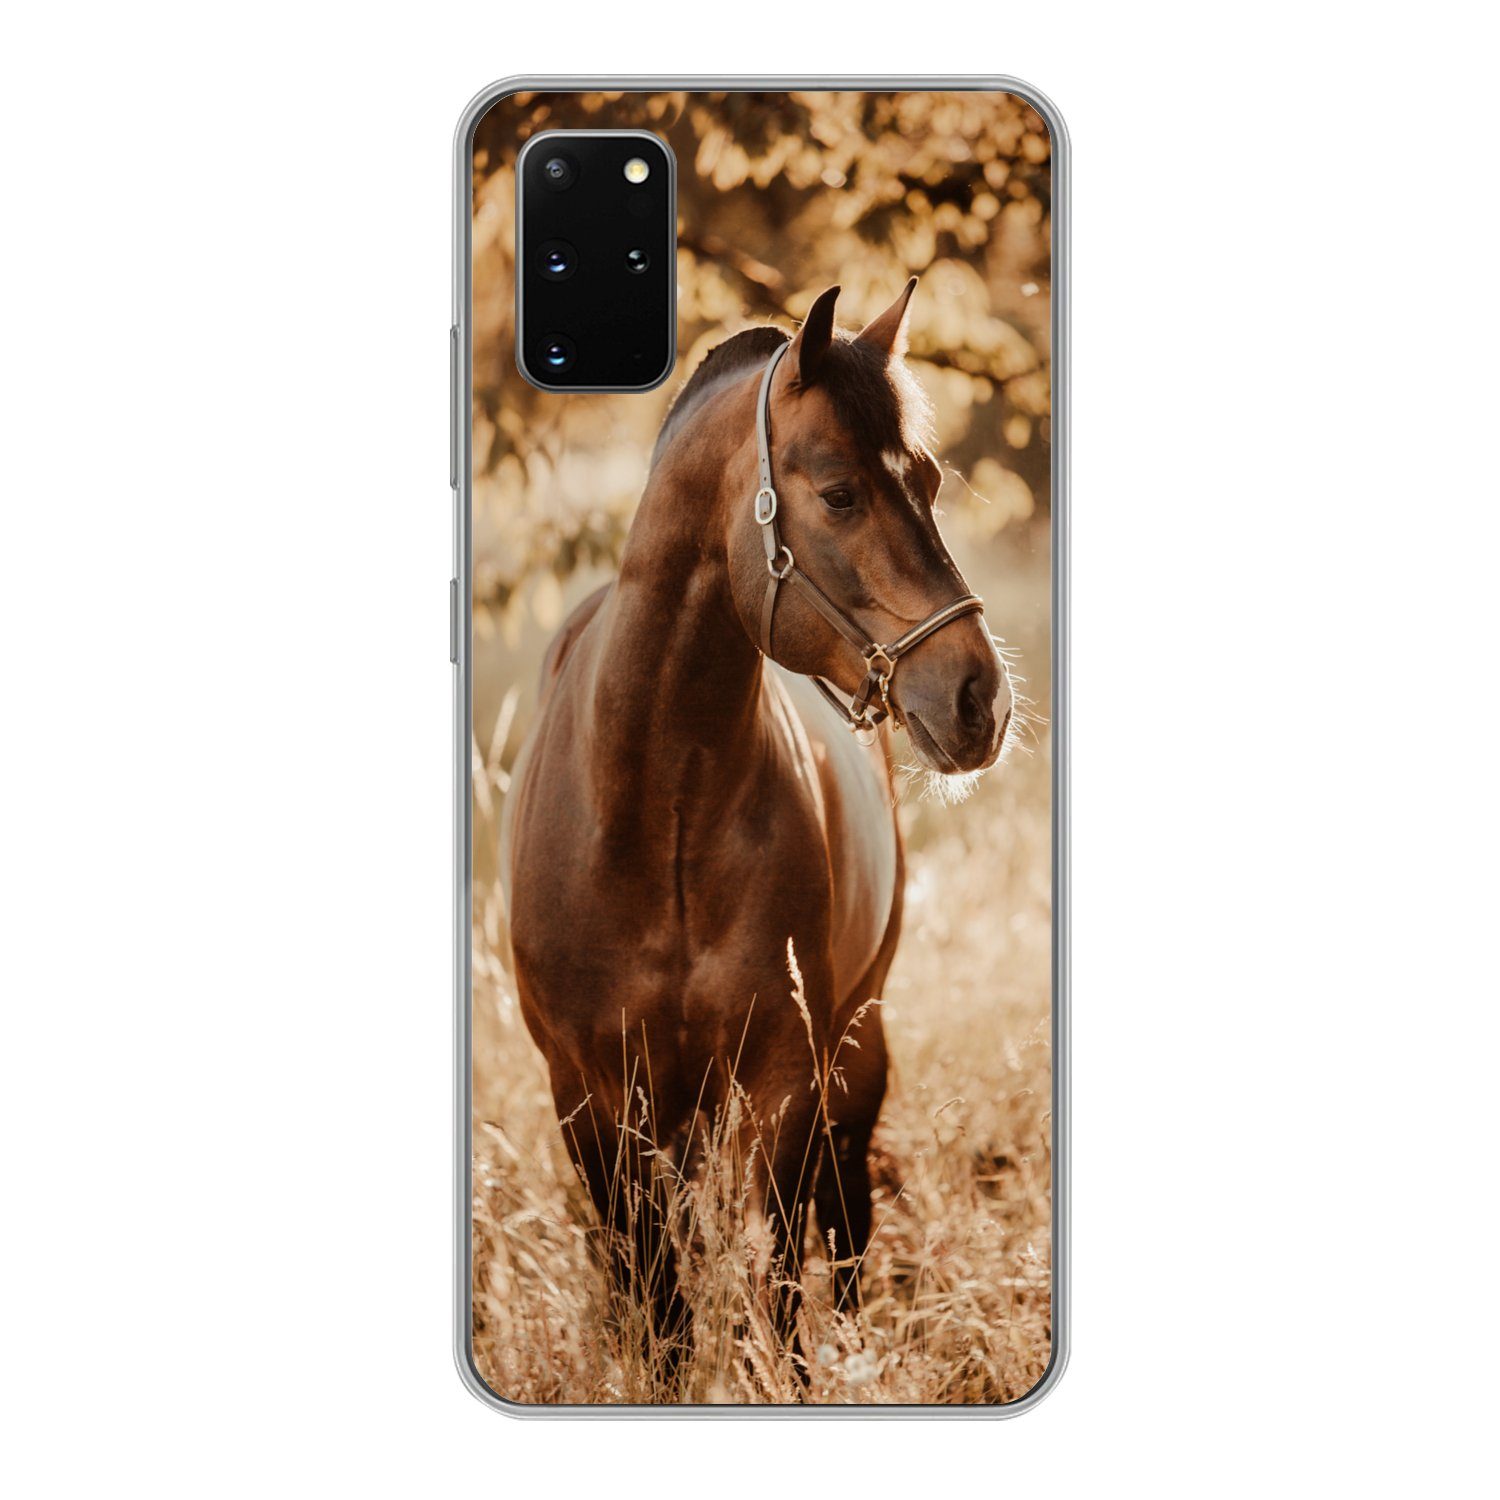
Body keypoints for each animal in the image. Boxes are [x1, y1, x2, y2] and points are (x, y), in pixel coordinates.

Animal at [500, 279, 1014, 1387]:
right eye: (840, 494)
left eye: (930, 479)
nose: (980, 700)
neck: (655, 813)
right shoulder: (589, 1098)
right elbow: (657, 1307)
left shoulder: (785, 1079)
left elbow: (780, 1290)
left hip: (853, 1055)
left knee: (846, 1230)